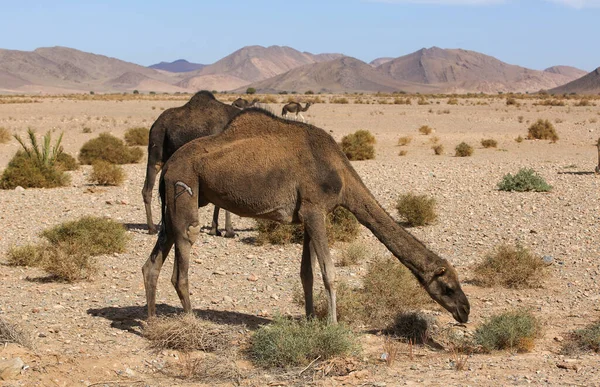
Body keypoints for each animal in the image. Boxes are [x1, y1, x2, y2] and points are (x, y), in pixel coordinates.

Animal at [142, 91, 240, 236]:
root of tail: (155, 124)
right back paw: (152, 228)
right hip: (156, 151)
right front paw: (229, 231)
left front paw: (215, 229)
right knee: (147, 189)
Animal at [143, 108, 472, 324]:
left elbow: (307, 273)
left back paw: (152, 320)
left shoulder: (306, 216)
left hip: (177, 201)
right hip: (185, 187)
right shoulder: (315, 211)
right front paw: (333, 325)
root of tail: (170, 165)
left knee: (155, 259)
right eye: (448, 287)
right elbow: (329, 272)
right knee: (183, 255)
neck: (341, 177)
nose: (465, 311)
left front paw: (312, 318)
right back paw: (191, 321)